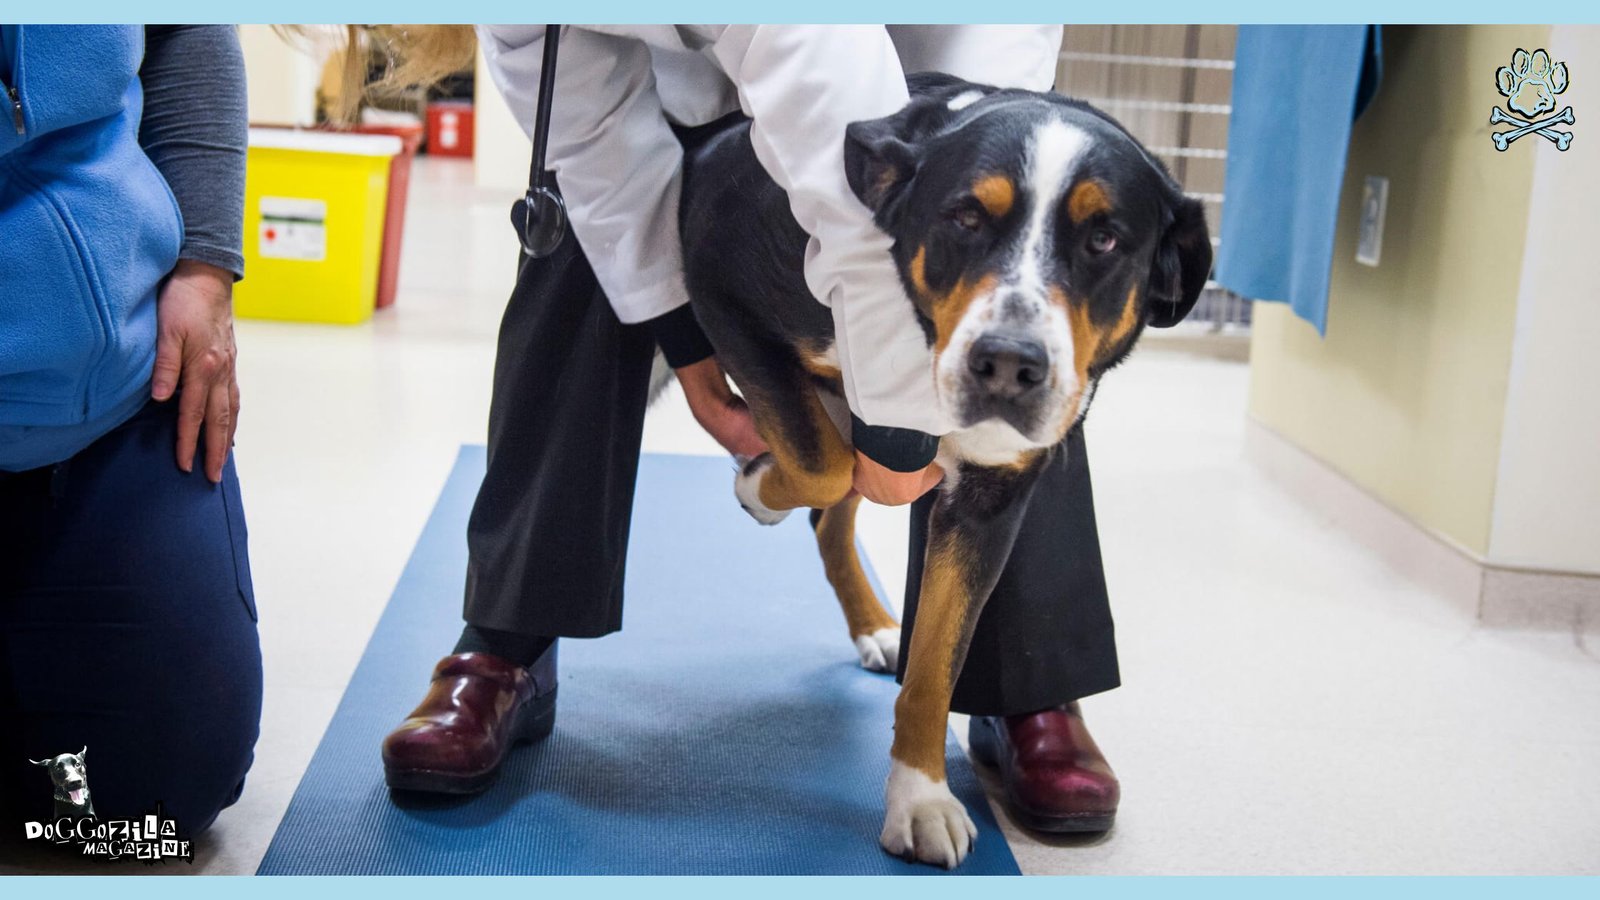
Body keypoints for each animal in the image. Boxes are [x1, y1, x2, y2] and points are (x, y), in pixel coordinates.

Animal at [675, 75, 1209, 864]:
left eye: (1104, 239)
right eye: (965, 217)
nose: (1010, 362)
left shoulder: (990, 498)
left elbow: (935, 663)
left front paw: (919, 797)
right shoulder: (725, 284)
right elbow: (819, 463)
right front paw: (756, 484)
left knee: (833, 520)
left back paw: (873, 625)